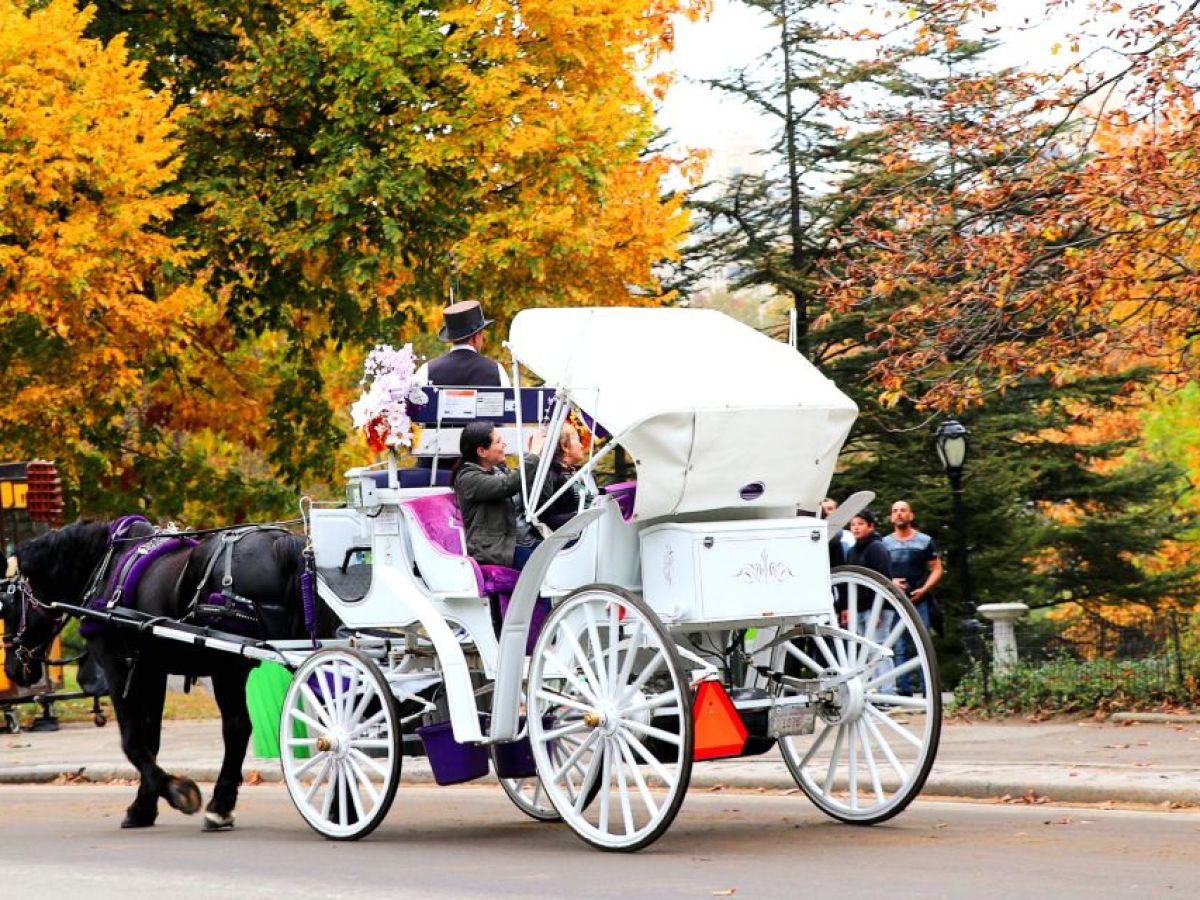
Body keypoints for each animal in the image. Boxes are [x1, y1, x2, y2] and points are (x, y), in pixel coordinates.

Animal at [6, 517, 331, 831]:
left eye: (6, 604)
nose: (12, 669)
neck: (105, 565)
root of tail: (279, 542)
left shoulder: (119, 667)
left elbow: (133, 741)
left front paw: (175, 792)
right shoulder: (153, 670)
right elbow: (151, 739)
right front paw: (144, 806)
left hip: (228, 666)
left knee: (238, 727)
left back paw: (220, 807)